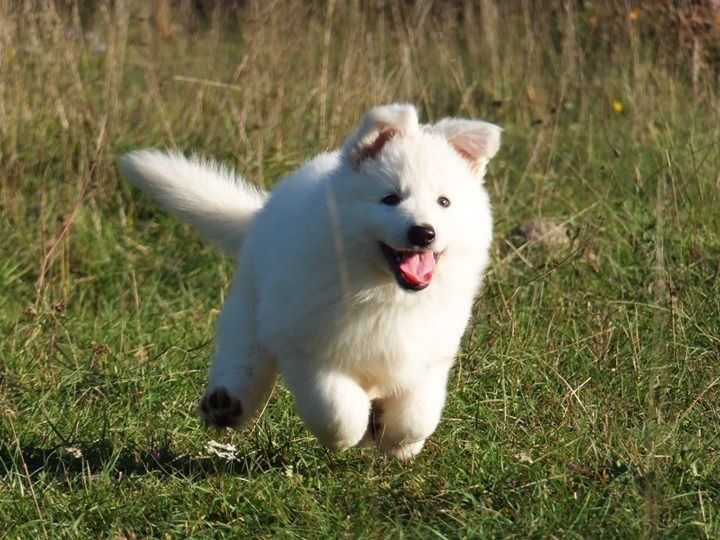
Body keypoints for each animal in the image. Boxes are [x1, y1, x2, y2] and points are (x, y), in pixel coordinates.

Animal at [119, 104, 500, 460]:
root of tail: (261, 213)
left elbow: (418, 415)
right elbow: (339, 411)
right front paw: (356, 432)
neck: (383, 291)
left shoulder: (431, 352)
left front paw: (395, 438)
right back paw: (225, 404)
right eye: (390, 198)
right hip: (250, 306)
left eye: (444, 202)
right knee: (243, 355)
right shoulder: (308, 349)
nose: (423, 233)